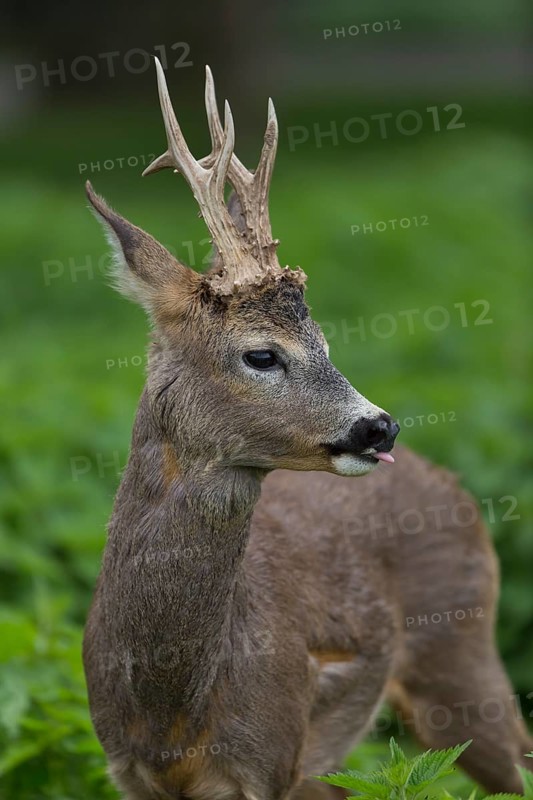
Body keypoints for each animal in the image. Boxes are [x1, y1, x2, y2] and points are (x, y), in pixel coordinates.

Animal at [83, 58, 533, 799]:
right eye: (262, 354)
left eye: (324, 341)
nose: (379, 428)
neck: (171, 712)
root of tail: (449, 479)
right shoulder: (129, 774)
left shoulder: (267, 762)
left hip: (460, 647)